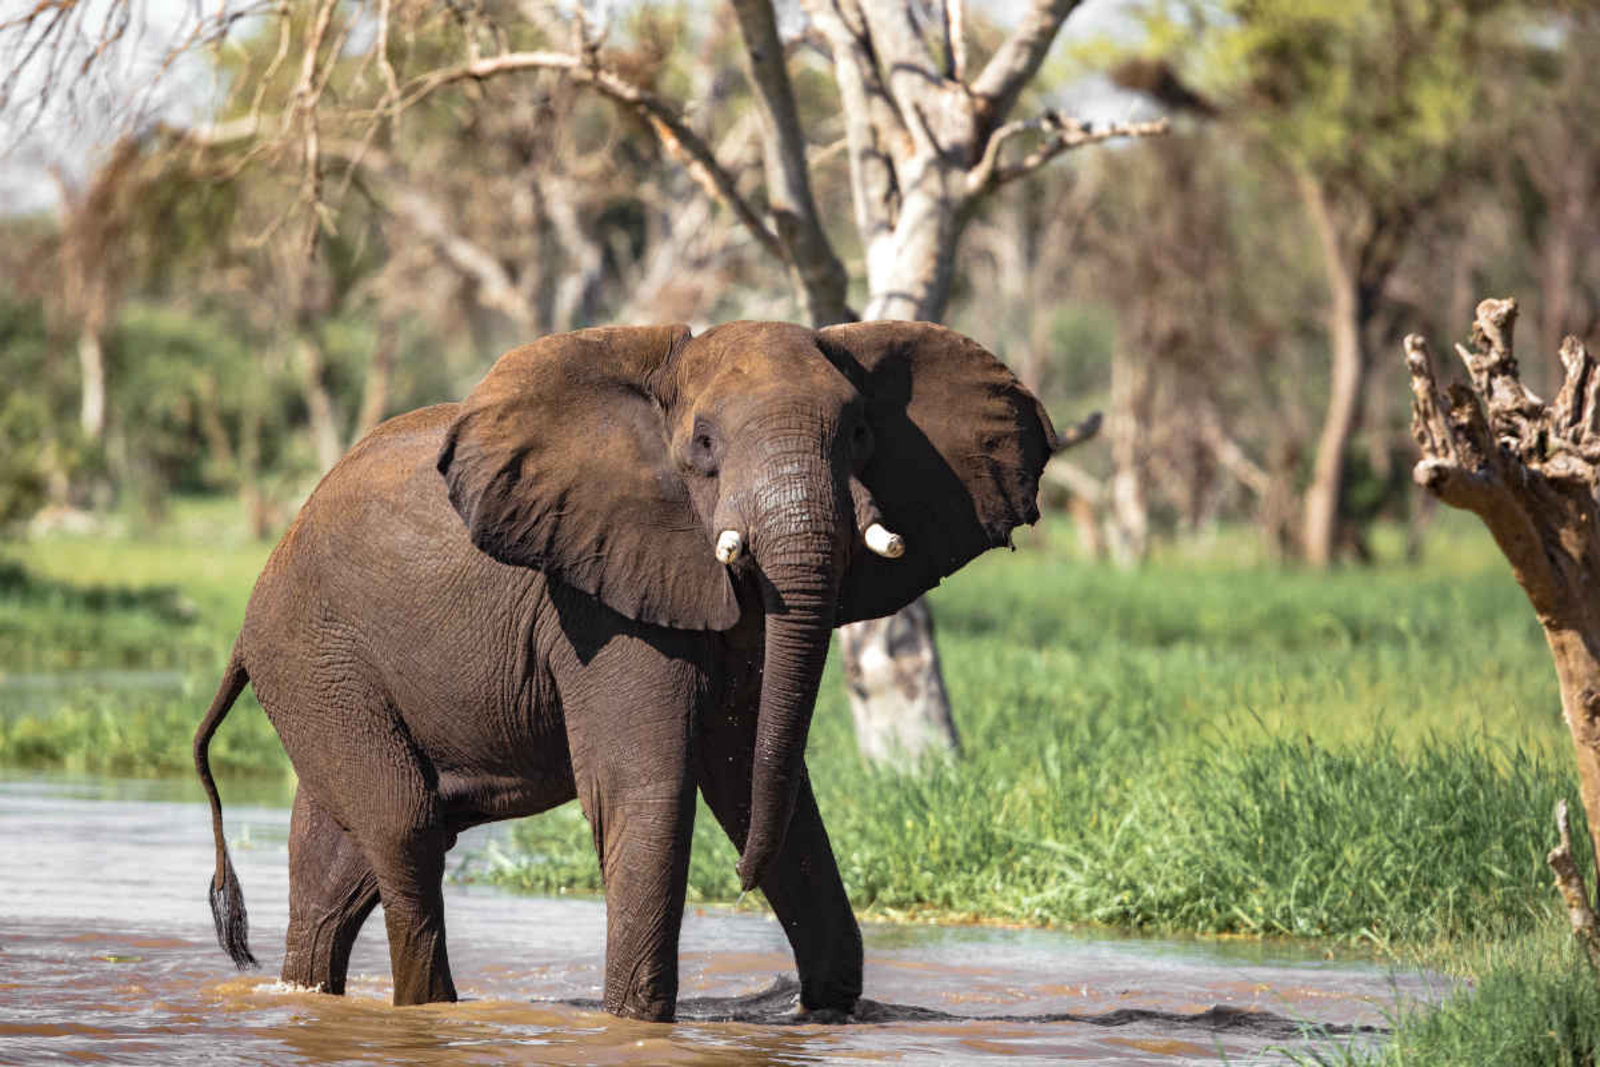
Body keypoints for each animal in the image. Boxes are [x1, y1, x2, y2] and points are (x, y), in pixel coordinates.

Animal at [192, 319, 1077, 1021]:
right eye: (705, 446)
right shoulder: (599, 603)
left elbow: (749, 771)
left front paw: (829, 1014)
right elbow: (648, 786)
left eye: (861, 434)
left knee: (341, 861)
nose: (741, 880)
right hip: (315, 656)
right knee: (405, 826)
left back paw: (304, 997)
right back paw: (431, 1013)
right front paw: (635, 1025)